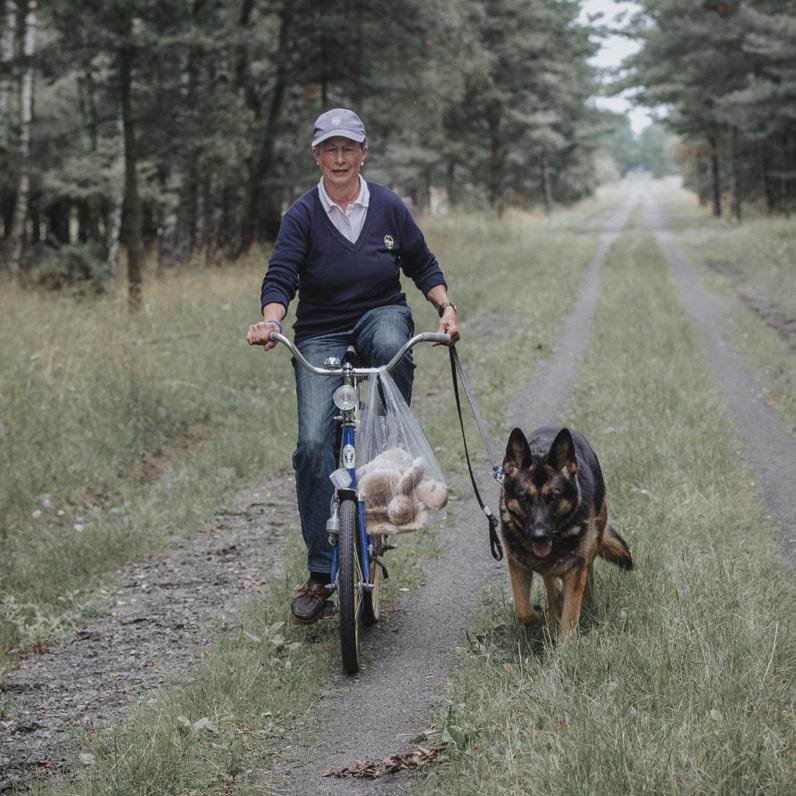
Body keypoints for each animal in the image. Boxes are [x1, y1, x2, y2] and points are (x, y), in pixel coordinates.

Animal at [500, 426, 632, 636]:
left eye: (553, 497)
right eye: (524, 498)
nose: (539, 536)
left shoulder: (575, 571)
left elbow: (569, 617)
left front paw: (565, 643)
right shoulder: (517, 565)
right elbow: (522, 610)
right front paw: (538, 615)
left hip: (592, 542)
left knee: (587, 576)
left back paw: (585, 603)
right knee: (551, 585)